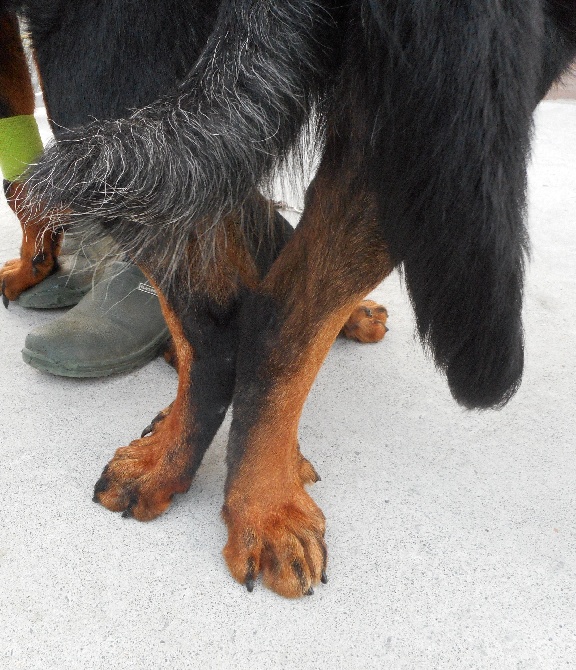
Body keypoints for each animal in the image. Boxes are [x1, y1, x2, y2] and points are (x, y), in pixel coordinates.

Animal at [1, 0, 576, 600]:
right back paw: (267, 490)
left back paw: (204, 478)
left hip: (98, 69)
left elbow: (22, 185)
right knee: (275, 305)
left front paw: (32, 261)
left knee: (221, 325)